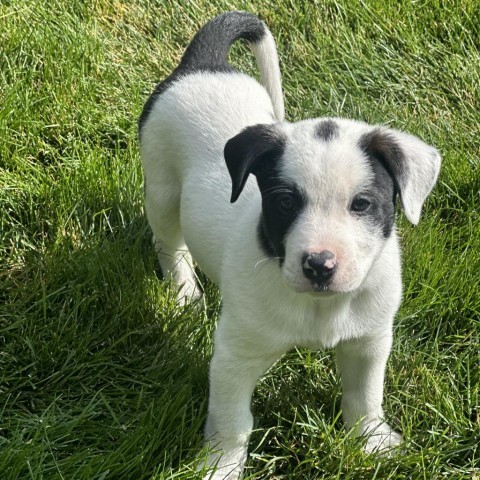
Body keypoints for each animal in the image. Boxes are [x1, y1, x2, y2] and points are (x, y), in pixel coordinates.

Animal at [138, 11, 438, 480]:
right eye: (284, 203)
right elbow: (232, 422)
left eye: (362, 204)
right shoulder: (234, 357)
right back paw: (184, 293)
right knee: (171, 245)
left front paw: (371, 441)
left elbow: (365, 396)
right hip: (163, 191)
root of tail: (203, 65)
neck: (320, 307)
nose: (319, 264)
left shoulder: (369, 342)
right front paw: (220, 466)